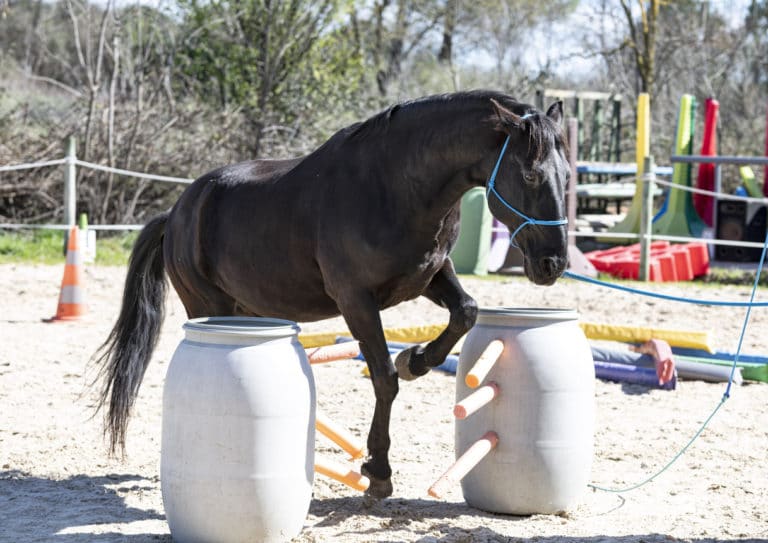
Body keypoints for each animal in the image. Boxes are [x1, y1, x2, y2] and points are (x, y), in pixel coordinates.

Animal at [94, 89, 571, 499]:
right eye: (529, 174)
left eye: (567, 175)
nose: (554, 263)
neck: (395, 187)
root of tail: (177, 211)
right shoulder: (356, 301)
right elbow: (384, 378)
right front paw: (378, 470)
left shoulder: (431, 277)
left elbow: (466, 313)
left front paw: (416, 359)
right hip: (209, 308)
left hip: (248, 309)